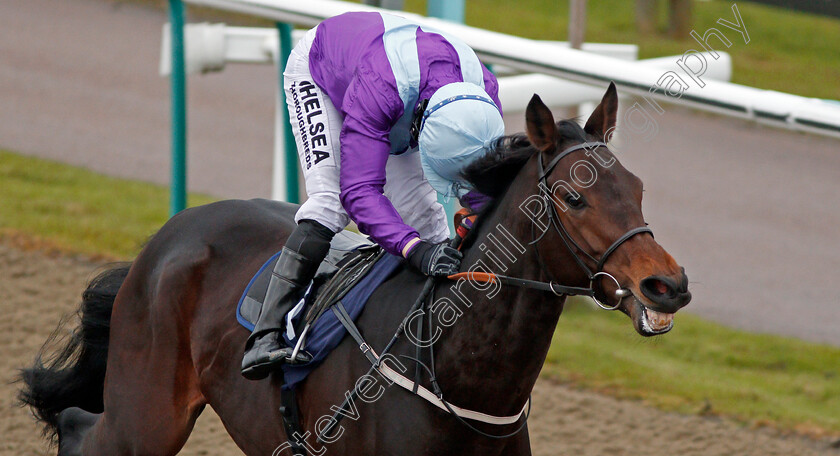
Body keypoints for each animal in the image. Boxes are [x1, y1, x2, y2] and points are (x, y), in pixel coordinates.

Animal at [19, 83, 688, 454]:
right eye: (575, 197)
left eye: (638, 188)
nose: (668, 284)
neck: (459, 373)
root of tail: (170, 233)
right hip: (147, 416)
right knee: (81, 425)